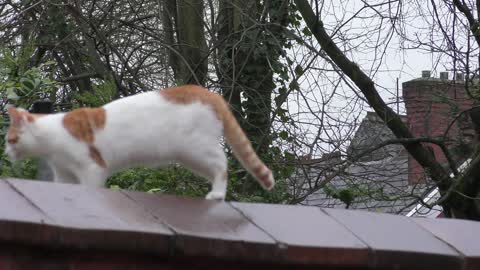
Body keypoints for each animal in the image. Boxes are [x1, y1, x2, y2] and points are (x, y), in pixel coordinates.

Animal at [3, 85, 274, 199]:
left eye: (10, 139)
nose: (6, 152)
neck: (53, 132)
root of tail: (206, 92)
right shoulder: (64, 174)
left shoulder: (92, 168)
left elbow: (91, 187)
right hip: (189, 156)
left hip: (197, 148)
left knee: (223, 164)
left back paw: (217, 194)